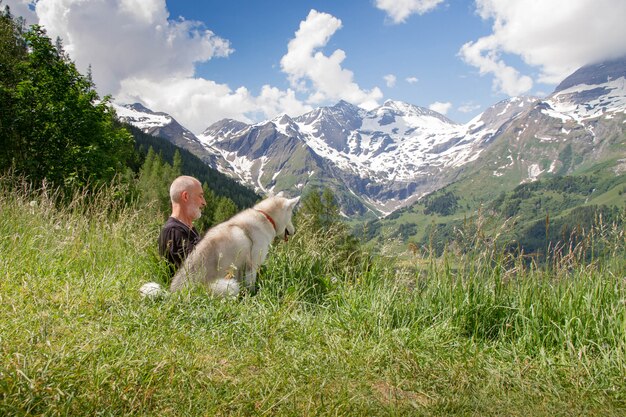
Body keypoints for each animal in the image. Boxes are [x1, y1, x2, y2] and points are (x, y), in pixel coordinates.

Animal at [141, 192, 298, 296]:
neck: (265, 216)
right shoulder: (251, 266)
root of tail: (175, 293)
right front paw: (253, 296)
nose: (294, 231)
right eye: (291, 215)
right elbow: (251, 286)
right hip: (229, 285)